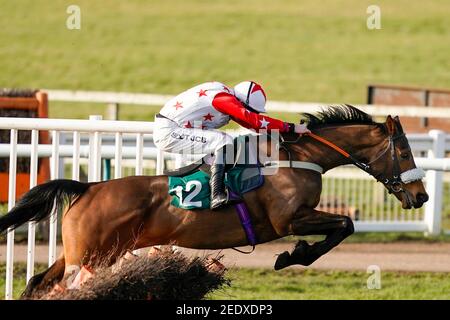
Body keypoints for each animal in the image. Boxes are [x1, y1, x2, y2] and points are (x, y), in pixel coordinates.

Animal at [0, 105, 428, 298]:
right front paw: (294, 255)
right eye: (405, 152)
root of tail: (88, 187)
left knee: (38, 281)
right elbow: (344, 225)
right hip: (90, 257)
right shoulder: (289, 219)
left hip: (79, 253)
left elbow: (343, 226)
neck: (296, 157)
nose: (421, 195)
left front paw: (295, 254)